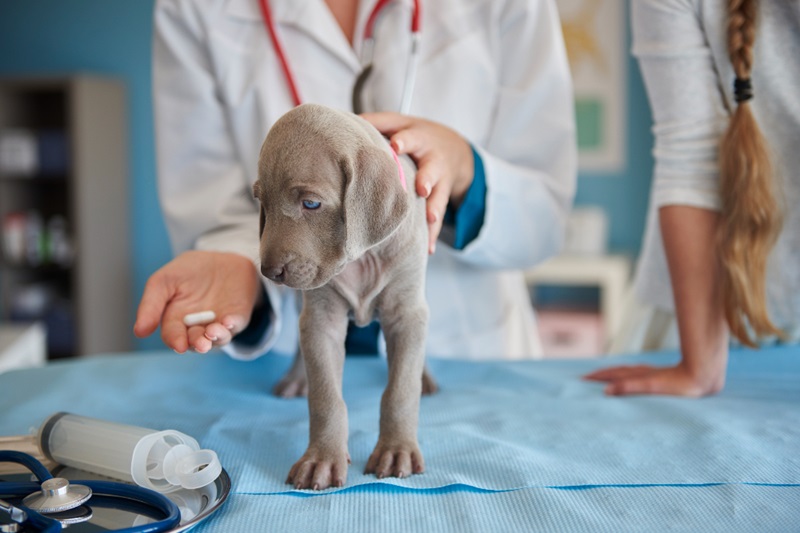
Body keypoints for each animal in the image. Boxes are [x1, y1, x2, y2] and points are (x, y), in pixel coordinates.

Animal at [255, 104, 432, 490]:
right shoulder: (322, 319)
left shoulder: (406, 313)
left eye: (311, 203)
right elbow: (325, 397)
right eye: (262, 202)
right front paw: (321, 459)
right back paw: (296, 379)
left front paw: (396, 450)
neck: (363, 256)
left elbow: (400, 389)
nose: (269, 272)